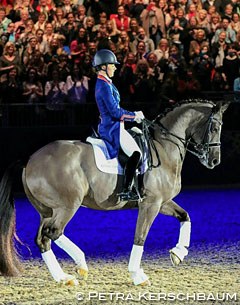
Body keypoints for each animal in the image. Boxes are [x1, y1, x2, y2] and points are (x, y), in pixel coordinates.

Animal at [0, 99, 229, 284]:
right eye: (214, 127)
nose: (214, 161)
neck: (164, 148)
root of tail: (30, 160)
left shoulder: (162, 202)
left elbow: (185, 216)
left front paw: (178, 253)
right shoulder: (150, 204)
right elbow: (140, 237)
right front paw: (137, 275)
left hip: (47, 210)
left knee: (42, 239)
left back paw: (63, 277)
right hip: (67, 206)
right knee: (53, 232)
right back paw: (80, 265)